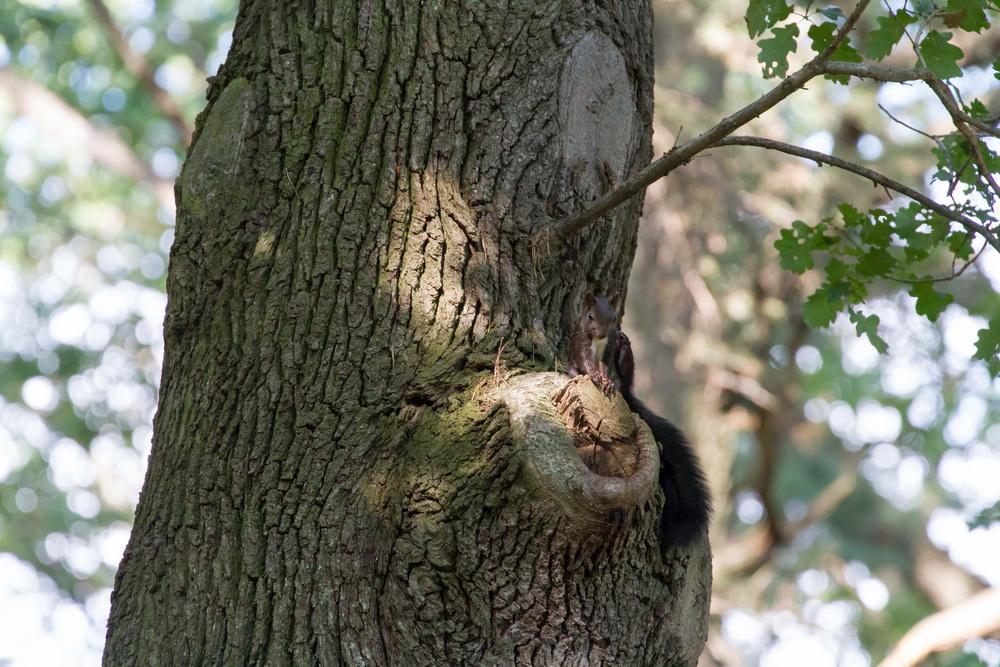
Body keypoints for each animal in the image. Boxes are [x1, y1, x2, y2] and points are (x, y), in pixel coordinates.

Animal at [572, 292, 712, 548]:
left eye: (613, 318)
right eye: (590, 316)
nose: (603, 332)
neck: (599, 342)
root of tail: (626, 395)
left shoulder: (608, 350)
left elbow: (608, 364)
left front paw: (608, 371)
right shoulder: (581, 344)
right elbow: (586, 361)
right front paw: (594, 375)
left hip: (625, 375)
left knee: (626, 369)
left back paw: (625, 350)